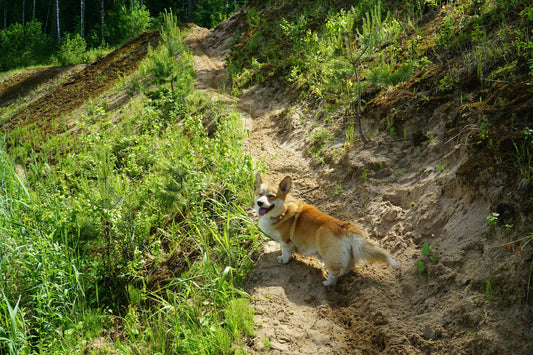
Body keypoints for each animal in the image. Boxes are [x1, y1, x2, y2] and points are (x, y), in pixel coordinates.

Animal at [255, 174, 400, 288]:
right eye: (260, 194)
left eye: (271, 196)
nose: (259, 203)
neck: (283, 211)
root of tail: (345, 227)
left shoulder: (286, 241)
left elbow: (285, 252)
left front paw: (283, 259)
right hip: (346, 255)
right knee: (348, 266)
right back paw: (343, 273)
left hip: (328, 253)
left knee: (334, 275)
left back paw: (327, 283)